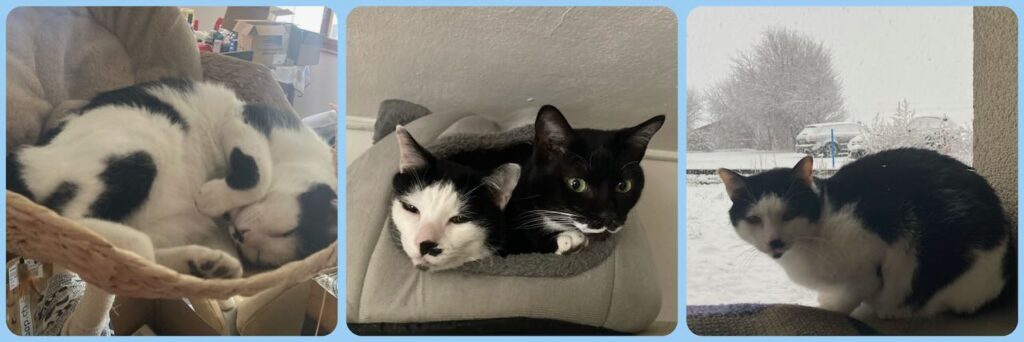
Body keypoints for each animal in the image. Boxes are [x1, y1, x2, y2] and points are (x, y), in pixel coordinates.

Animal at [6, 79, 337, 333]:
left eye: (258, 255)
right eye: (285, 230)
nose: (239, 233)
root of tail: (30, 152)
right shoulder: (243, 117)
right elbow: (260, 174)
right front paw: (212, 196)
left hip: (164, 216)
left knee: (144, 257)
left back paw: (205, 265)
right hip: (138, 151)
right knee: (70, 220)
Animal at [716, 149, 1011, 317]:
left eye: (789, 214)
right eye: (754, 219)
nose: (775, 241)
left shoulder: (872, 255)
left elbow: (851, 297)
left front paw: (831, 308)